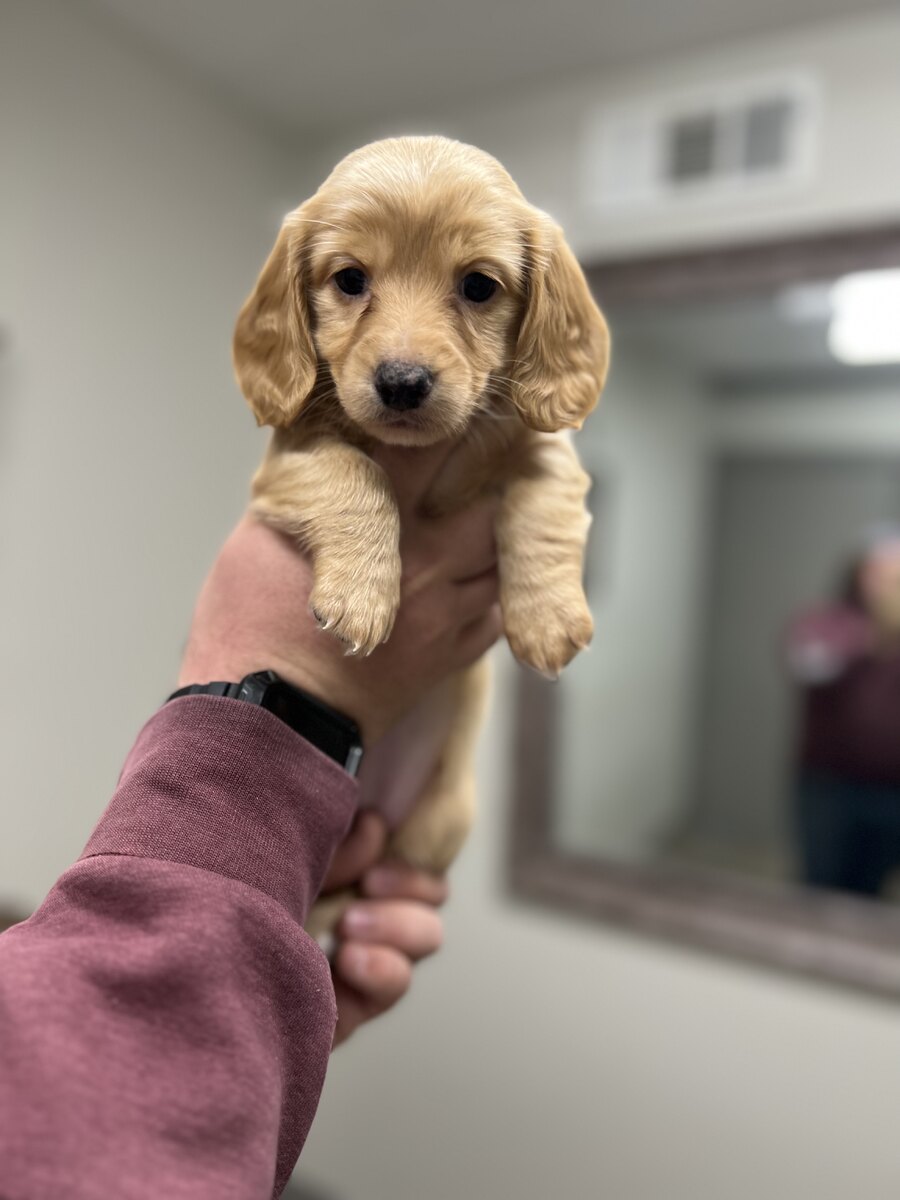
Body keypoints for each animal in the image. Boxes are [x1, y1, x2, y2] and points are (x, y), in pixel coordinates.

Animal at [233, 136, 609, 935]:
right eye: (350, 280)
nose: (402, 382)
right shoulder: (288, 462)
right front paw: (363, 594)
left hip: (433, 831)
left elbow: (544, 507)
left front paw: (547, 616)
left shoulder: (547, 450)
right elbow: (355, 474)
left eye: (478, 286)